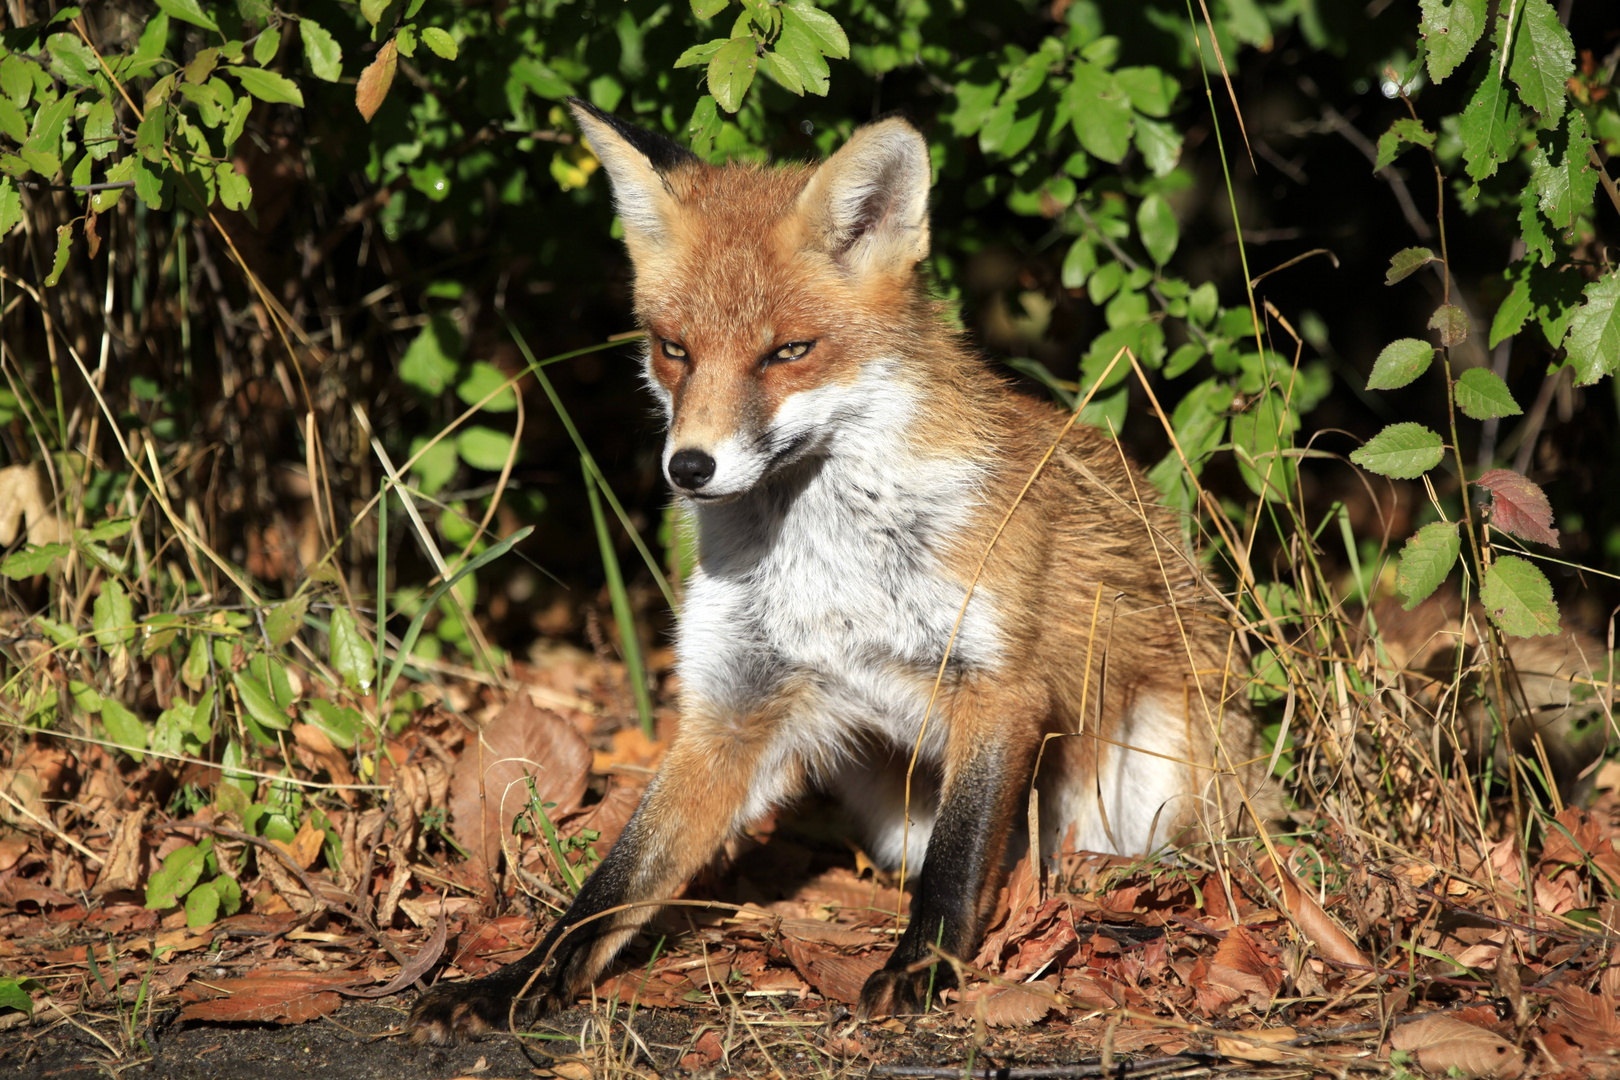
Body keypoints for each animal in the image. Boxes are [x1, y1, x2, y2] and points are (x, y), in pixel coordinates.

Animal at [411, 103, 1283, 1049]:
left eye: (788, 351)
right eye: (675, 350)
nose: (689, 467)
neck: (826, 565)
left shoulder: (996, 685)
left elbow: (958, 862)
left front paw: (919, 971)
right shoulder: (735, 710)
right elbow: (609, 889)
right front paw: (513, 981)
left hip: (1155, 777)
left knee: (1144, 860)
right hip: (896, 810)